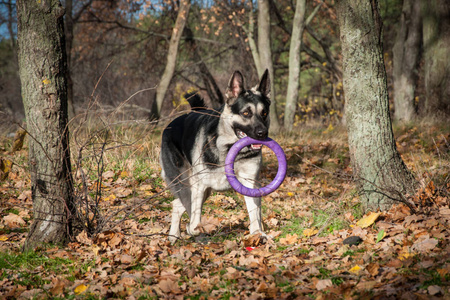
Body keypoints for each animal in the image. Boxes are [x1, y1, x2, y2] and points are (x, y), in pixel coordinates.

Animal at [160, 69, 268, 243]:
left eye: (264, 113)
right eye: (246, 113)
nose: (262, 133)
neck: (229, 149)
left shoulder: (250, 183)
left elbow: (254, 212)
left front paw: (257, 233)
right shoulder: (199, 186)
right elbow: (194, 222)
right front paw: (194, 229)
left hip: (202, 191)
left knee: (177, 204)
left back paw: (174, 236)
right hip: (187, 185)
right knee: (182, 204)